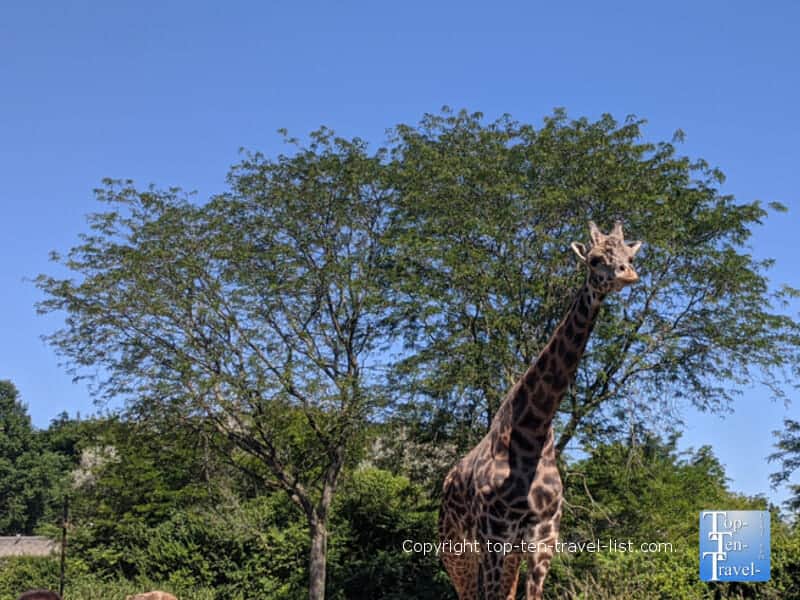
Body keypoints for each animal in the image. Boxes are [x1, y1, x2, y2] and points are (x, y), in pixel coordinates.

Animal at [438, 220, 642, 600]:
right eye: (594, 259)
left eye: (630, 255)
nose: (628, 274)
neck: (532, 431)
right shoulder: (494, 534)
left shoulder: (544, 537)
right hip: (456, 550)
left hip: (505, 555)